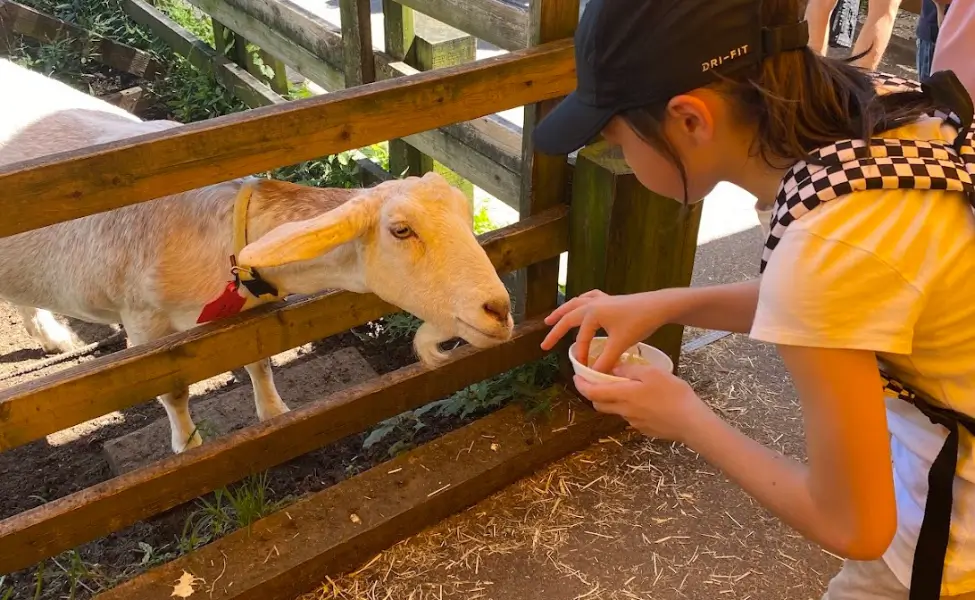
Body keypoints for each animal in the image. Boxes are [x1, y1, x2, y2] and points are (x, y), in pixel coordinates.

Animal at [0, 59, 514, 453]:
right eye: (401, 230)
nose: (500, 310)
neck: (218, 235)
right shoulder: (145, 324)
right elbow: (173, 388)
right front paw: (189, 447)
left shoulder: (249, 311)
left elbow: (259, 359)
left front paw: (274, 415)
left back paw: (53, 337)